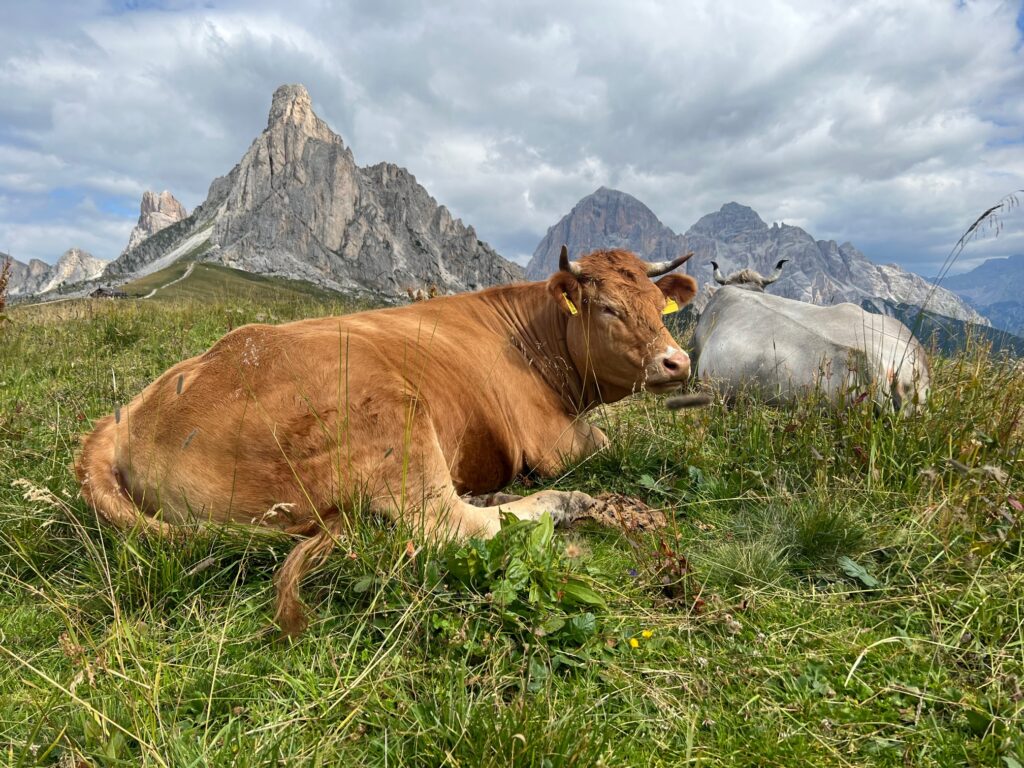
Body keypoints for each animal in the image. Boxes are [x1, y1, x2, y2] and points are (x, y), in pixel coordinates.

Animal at [77, 247, 696, 638]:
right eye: (610, 308)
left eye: (657, 306)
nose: (679, 362)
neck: (533, 336)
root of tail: (123, 419)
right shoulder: (554, 439)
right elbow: (608, 442)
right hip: (395, 413)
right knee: (448, 525)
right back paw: (568, 504)